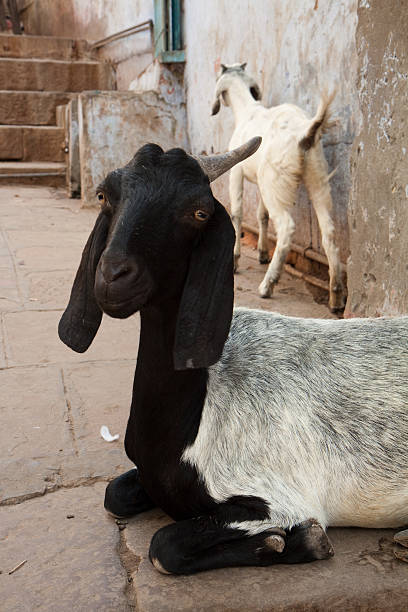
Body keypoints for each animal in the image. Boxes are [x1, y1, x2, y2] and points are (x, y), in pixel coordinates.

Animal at [58, 137, 408, 572]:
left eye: (198, 212)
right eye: (105, 195)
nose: (113, 276)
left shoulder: (277, 498)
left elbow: (164, 547)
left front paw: (295, 542)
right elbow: (114, 495)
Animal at [214, 63, 344, 310]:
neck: (247, 111)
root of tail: (305, 132)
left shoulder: (236, 171)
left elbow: (237, 212)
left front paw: (234, 260)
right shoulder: (260, 181)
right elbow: (261, 214)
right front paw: (262, 253)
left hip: (275, 181)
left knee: (286, 227)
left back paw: (268, 284)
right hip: (314, 176)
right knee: (329, 231)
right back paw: (336, 295)